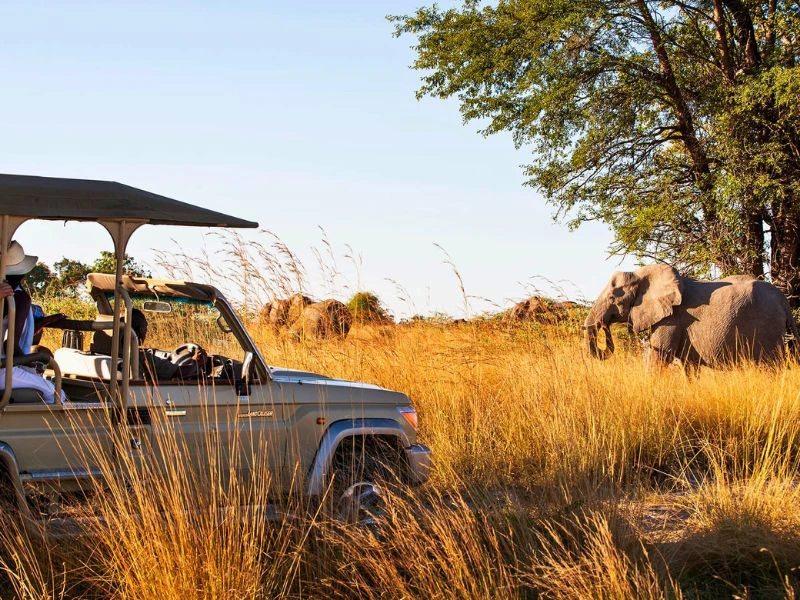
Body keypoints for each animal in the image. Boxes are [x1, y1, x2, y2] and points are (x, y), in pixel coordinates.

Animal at [584, 264, 798, 367]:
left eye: (612, 297)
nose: (604, 325)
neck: (640, 274)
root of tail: (783, 300)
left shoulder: (672, 319)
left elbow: (658, 356)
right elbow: (688, 366)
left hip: (767, 328)